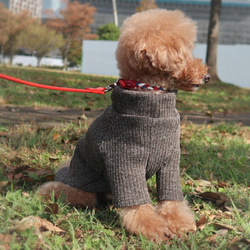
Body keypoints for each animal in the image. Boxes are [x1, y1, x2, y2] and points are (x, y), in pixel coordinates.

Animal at [38, 8, 209, 241]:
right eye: (186, 54)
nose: (207, 76)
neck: (151, 104)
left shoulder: (170, 160)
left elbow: (172, 197)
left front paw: (180, 223)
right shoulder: (124, 161)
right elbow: (136, 203)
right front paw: (152, 228)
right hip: (84, 184)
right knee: (68, 191)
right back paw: (47, 191)